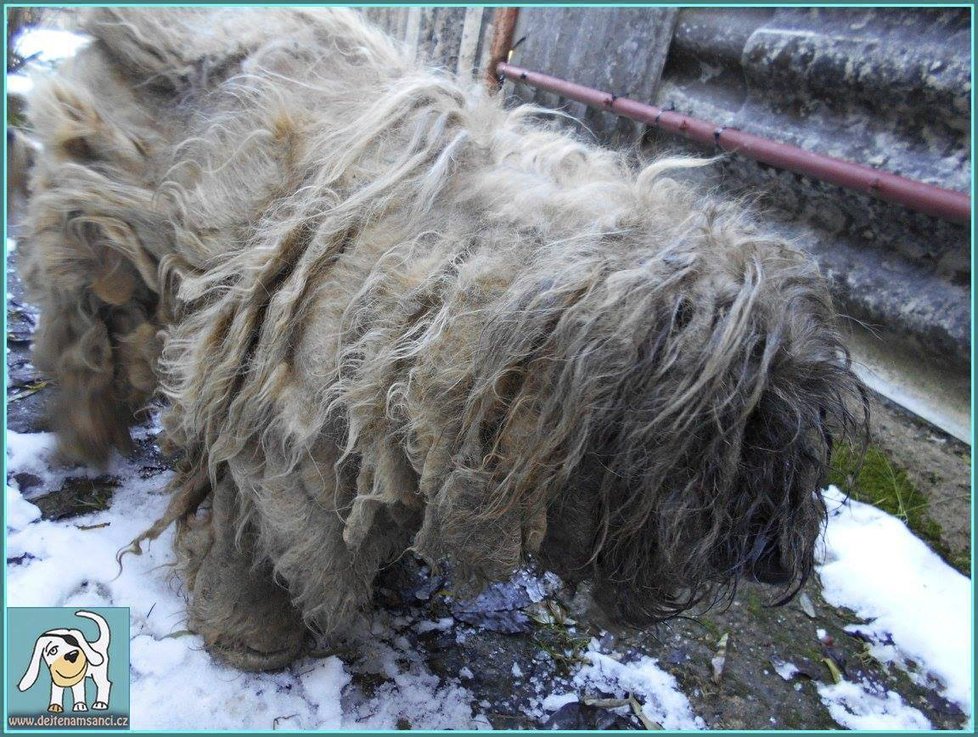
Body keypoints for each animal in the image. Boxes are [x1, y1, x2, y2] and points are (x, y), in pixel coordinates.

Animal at [21, 8, 860, 668]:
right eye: (742, 436)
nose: (777, 558)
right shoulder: (283, 426)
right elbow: (267, 537)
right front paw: (252, 634)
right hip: (97, 242)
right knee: (88, 338)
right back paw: (84, 435)